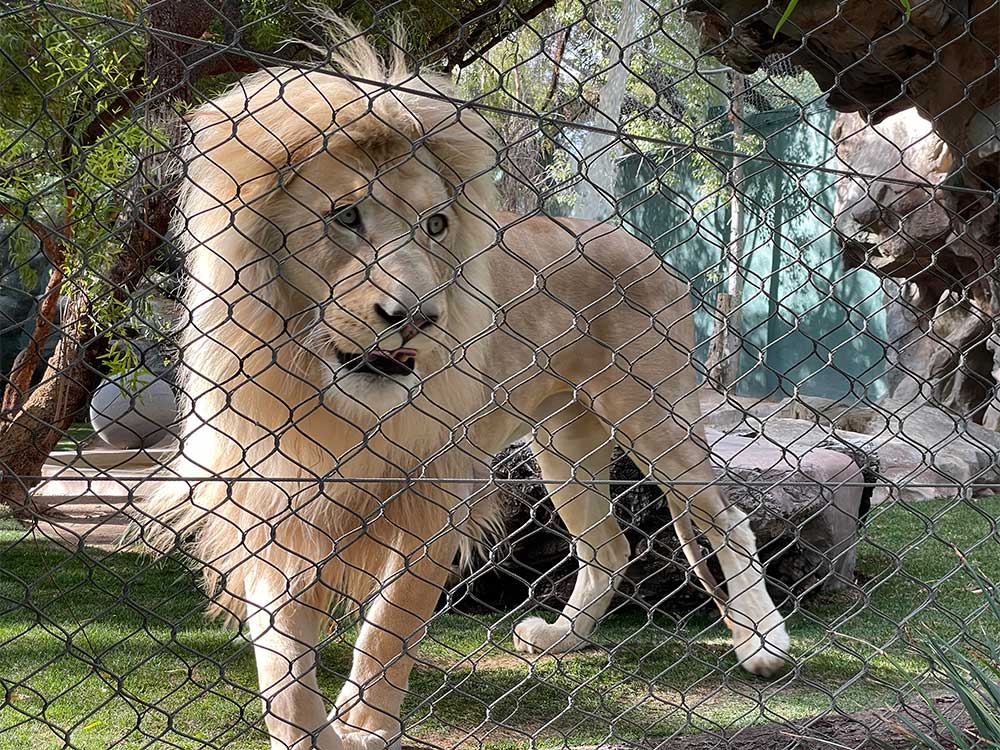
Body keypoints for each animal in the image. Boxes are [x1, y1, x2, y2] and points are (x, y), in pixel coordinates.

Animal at [143, 20, 788, 750]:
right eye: (346, 217)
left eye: (436, 225)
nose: (417, 317)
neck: (326, 394)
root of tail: (642, 245)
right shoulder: (268, 499)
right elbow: (282, 665)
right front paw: (313, 730)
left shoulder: (435, 490)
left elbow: (391, 621)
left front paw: (366, 725)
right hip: (566, 442)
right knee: (609, 545)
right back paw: (560, 638)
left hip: (656, 416)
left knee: (728, 520)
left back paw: (763, 646)